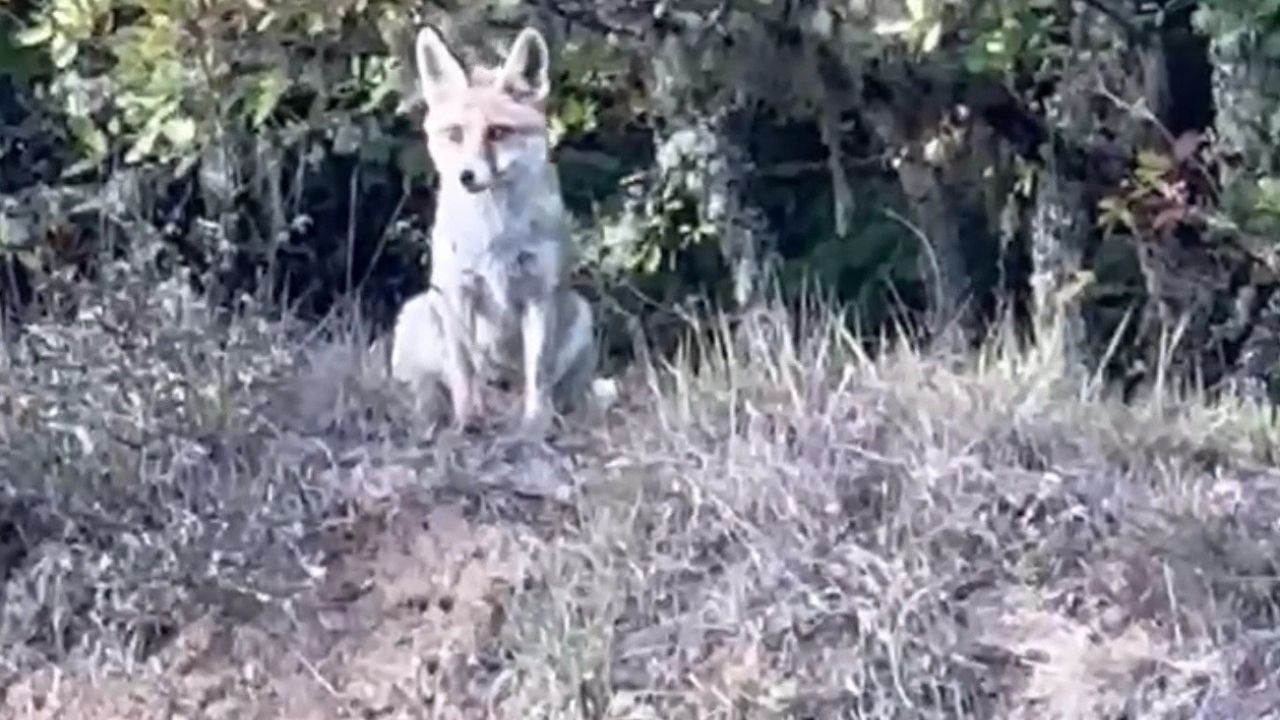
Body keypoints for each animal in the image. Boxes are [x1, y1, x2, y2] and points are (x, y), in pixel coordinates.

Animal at [386, 25, 596, 430]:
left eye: (497, 132)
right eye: (455, 133)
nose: (466, 176)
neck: (495, 237)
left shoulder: (538, 295)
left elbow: (538, 373)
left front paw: (535, 426)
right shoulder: (459, 292)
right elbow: (466, 372)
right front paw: (468, 423)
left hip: (581, 314)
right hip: (419, 315)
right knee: (430, 388)